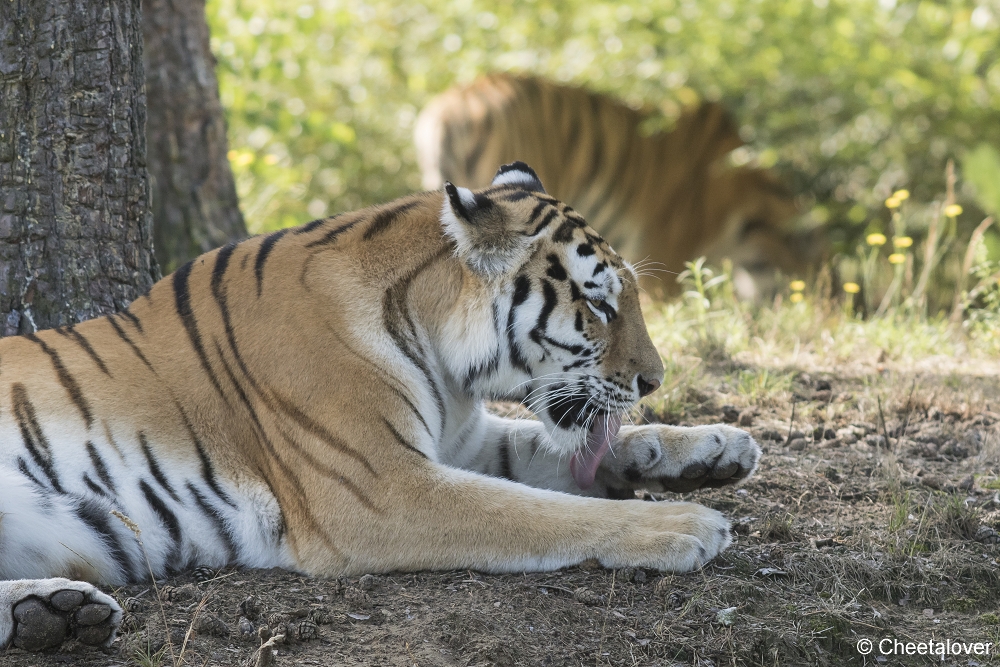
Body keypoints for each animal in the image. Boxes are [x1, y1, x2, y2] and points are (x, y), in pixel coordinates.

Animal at [0, 163, 756, 652]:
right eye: (599, 304)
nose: (654, 379)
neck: (444, 360)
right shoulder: (380, 488)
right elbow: (540, 510)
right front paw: (688, 524)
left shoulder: (461, 441)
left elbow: (557, 454)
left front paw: (717, 448)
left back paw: (57, 613)